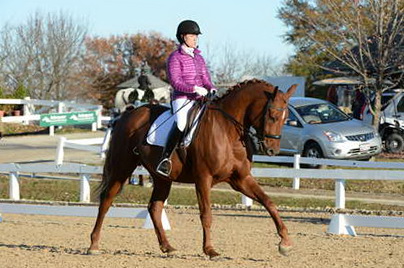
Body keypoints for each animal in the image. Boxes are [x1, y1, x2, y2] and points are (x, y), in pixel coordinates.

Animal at [88, 79, 296, 258]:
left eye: (285, 118)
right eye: (272, 116)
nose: (272, 150)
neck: (228, 132)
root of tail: (128, 114)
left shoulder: (241, 179)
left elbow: (269, 202)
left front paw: (285, 243)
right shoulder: (203, 178)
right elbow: (206, 214)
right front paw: (210, 250)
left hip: (162, 178)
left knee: (154, 207)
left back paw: (167, 247)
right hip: (122, 168)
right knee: (106, 200)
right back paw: (94, 245)